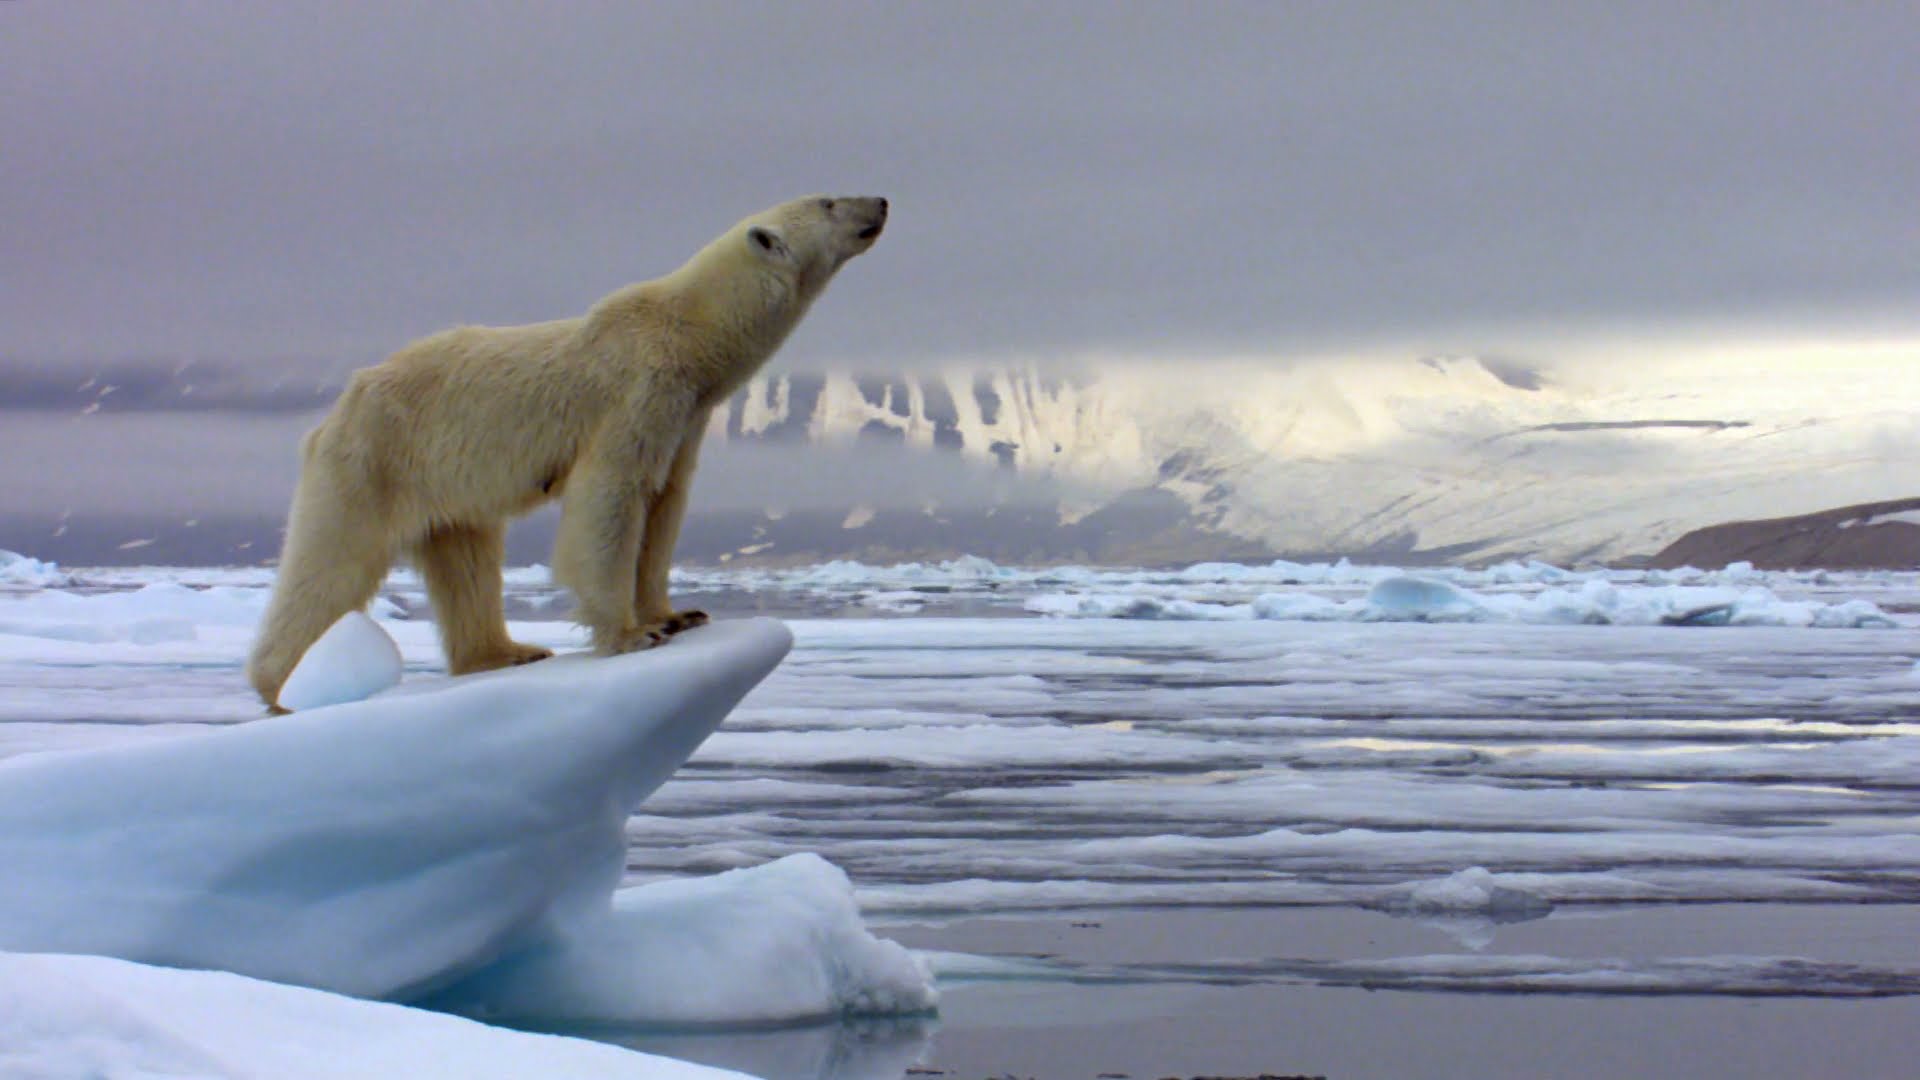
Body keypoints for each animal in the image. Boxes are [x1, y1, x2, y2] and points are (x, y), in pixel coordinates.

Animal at [245, 195, 890, 707]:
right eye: (830, 201)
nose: (881, 201)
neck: (688, 336)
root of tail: (335, 410)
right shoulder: (637, 394)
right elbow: (611, 498)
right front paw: (631, 635)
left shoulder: (683, 418)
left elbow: (664, 504)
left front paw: (676, 614)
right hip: (374, 459)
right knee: (332, 561)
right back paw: (286, 684)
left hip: (444, 482)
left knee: (467, 560)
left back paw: (506, 651)